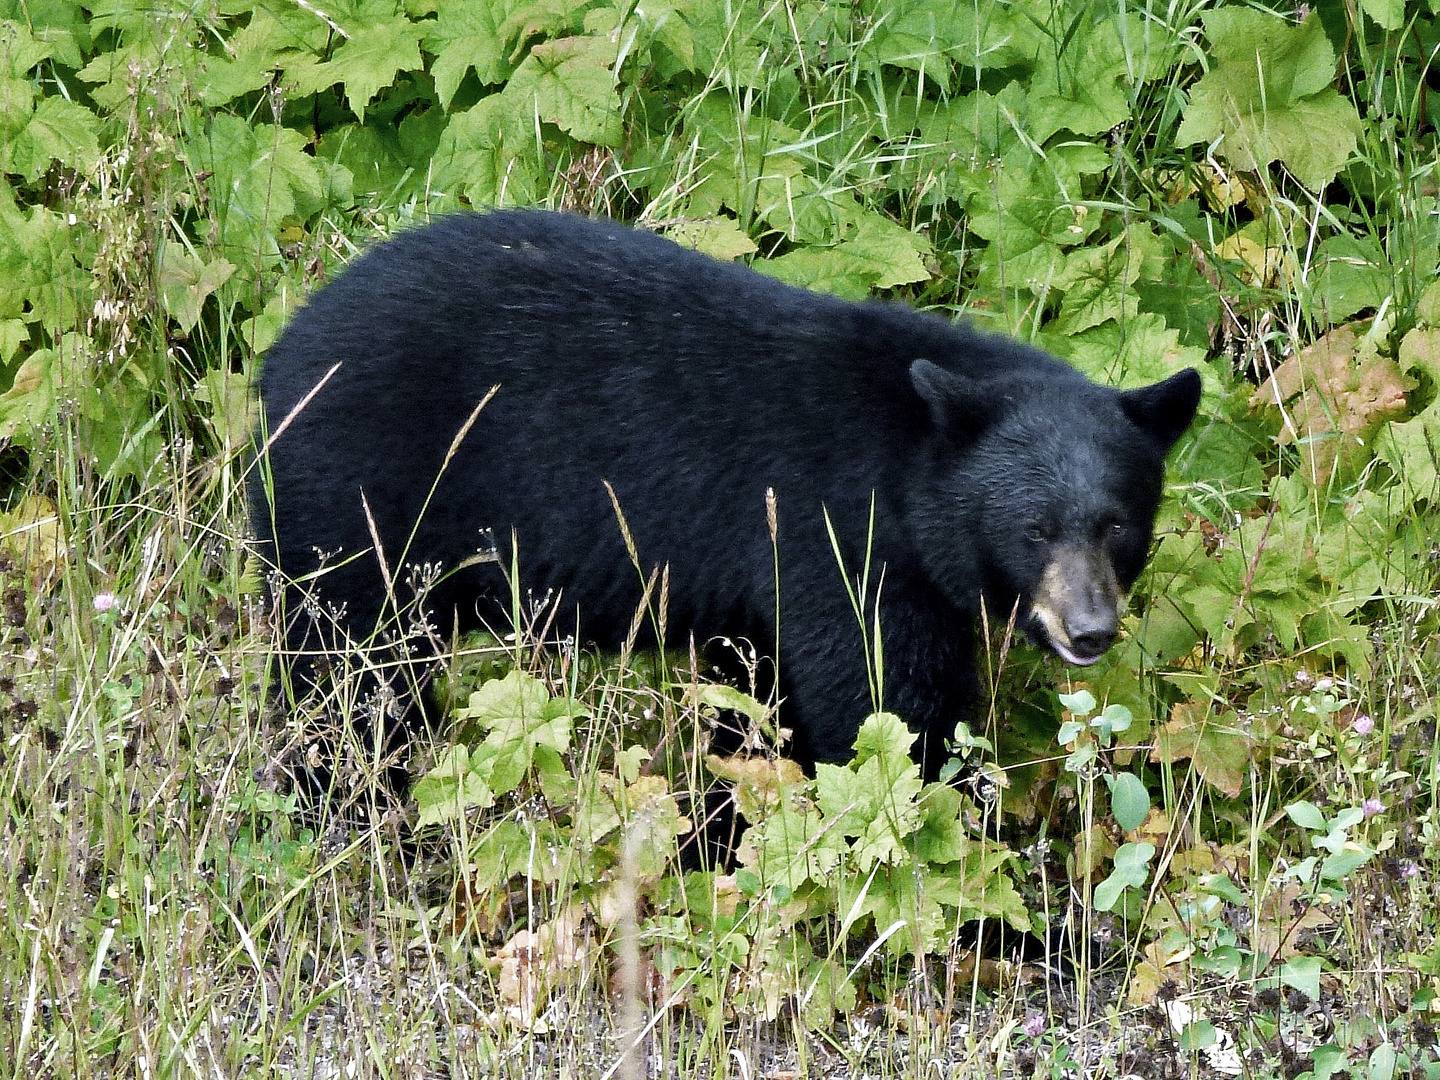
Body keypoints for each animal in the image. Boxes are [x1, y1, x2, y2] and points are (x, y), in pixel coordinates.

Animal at [253, 213, 1198, 789]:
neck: (906, 460)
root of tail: (281, 353)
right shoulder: (838, 540)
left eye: (1118, 525)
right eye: (1033, 529)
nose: (1090, 630)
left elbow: (763, 707)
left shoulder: (777, 603)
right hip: (358, 500)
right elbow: (883, 708)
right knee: (348, 670)